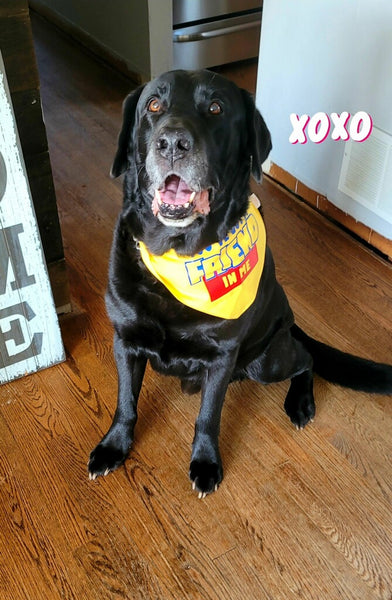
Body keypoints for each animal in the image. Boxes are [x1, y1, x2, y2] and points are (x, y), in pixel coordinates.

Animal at [89, 69, 392, 496]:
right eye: (154, 105)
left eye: (216, 108)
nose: (172, 143)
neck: (180, 255)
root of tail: (289, 316)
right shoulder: (126, 341)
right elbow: (126, 404)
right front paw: (114, 446)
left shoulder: (222, 356)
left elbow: (208, 416)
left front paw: (206, 462)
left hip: (266, 360)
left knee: (306, 359)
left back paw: (300, 403)